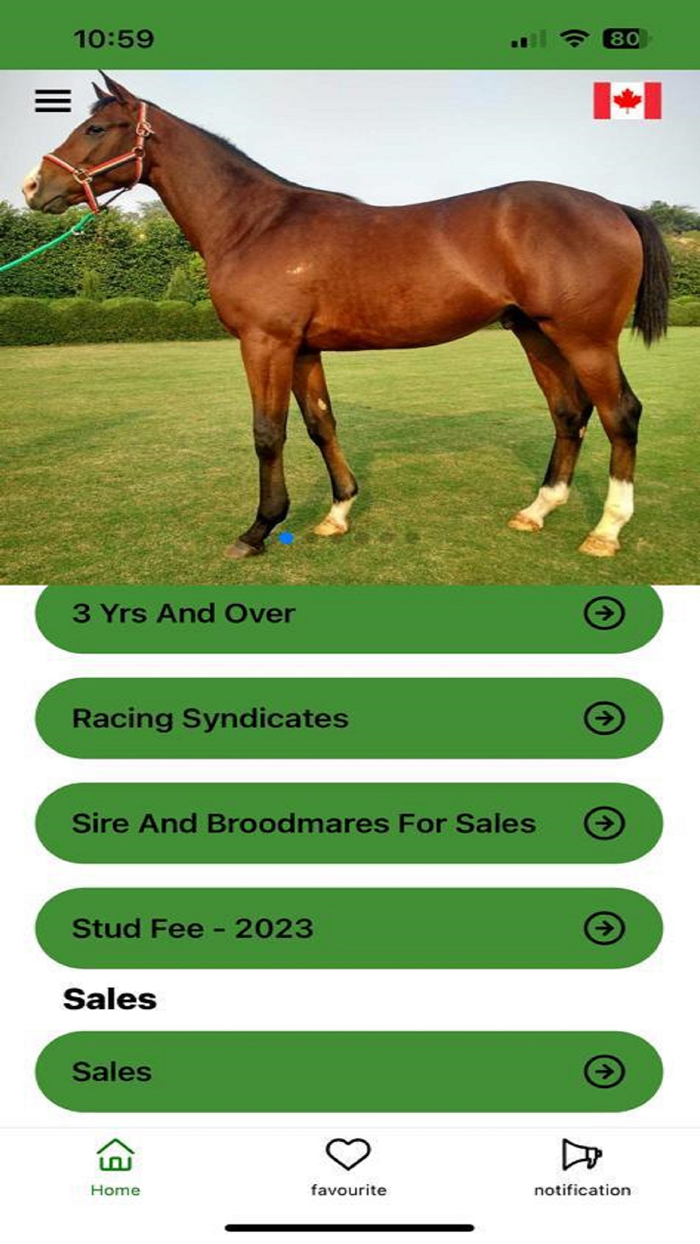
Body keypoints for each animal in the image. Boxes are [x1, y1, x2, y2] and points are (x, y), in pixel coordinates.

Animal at [23, 73, 670, 560]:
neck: (255, 224)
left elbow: (268, 433)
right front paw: (337, 513)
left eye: (96, 128)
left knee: (620, 414)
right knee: (569, 412)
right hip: (535, 333)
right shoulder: (303, 348)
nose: (33, 186)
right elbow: (320, 425)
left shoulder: (265, 343)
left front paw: (257, 531)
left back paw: (606, 531)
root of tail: (612, 206)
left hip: (587, 339)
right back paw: (537, 511)